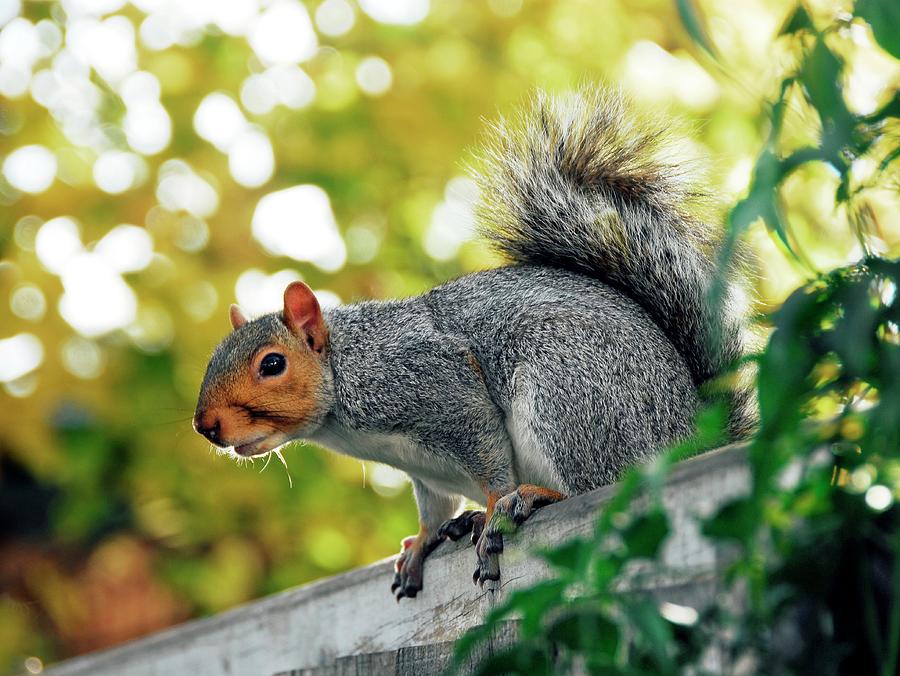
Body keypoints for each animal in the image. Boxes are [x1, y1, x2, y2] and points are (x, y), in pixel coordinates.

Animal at [193, 87, 756, 600]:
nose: (206, 426)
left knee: (598, 481)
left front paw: (491, 509)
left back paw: (528, 498)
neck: (347, 379)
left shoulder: (437, 385)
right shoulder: (421, 470)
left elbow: (487, 456)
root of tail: (693, 434)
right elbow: (430, 508)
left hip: (569, 394)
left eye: (272, 364)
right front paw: (421, 542)